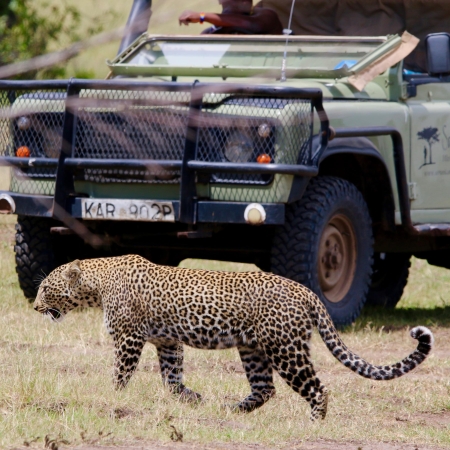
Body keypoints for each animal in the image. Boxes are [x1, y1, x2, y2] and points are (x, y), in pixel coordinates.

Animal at [33, 255, 434, 420]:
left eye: (44, 288)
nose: (35, 307)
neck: (96, 283)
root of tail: (306, 291)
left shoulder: (129, 338)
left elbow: (120, 373)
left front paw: (111, 397)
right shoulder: (168, 342)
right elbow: (171, 378)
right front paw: (191, 399)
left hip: (285, 348)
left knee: (317, 388)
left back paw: (315, 421)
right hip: (252, 348)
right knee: (265, 389)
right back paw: (230, 410)